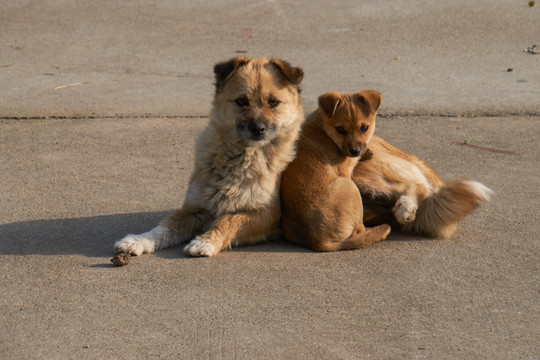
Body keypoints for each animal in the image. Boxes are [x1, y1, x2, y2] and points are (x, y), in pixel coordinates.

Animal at [114, 56, 306, 258]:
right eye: (242, 101)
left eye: (274, 102)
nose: (258, 129)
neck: (242, 158)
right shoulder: (194, 208)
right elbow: (163, 227)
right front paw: (138, 240)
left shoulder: (267, 214)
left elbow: (228, 220)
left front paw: (205, 241)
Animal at [280, 91, 390, 252]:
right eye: (340, 130)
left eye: (364, 128)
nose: (355, 151)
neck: (323, 129)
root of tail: (319, 242)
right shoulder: (345, 170)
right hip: (351, 188)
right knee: (359, 229)